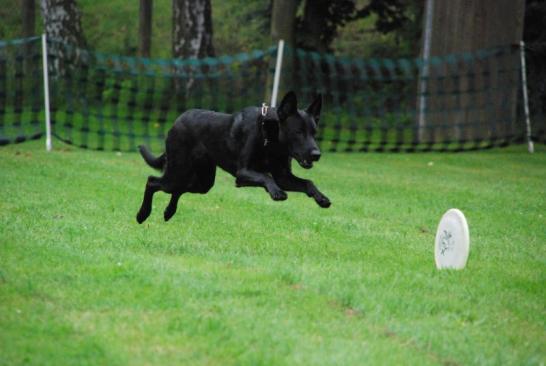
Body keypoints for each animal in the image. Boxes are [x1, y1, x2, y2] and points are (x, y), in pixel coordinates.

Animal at [136, 91, 332, 223]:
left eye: (314, 133)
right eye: (298, 132)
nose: (317, 155)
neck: (269, 139)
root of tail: (176, 122)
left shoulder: (283, 177)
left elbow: (308, 183)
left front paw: (321, 198)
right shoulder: (243, 173)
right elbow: (266, 176)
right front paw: (276, 192)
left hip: (202, 181)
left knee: (178, 189)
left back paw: (168, 212)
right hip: (178, 171)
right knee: (152, 181)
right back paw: (142, 215)